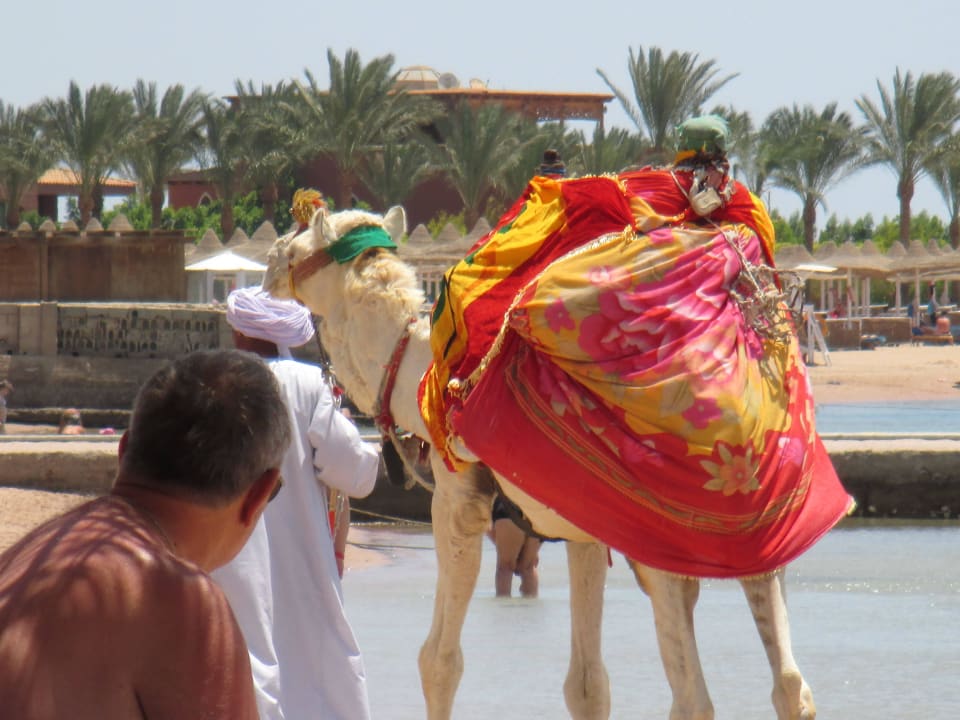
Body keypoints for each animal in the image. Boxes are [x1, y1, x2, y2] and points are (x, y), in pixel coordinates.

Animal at [263, 186, 843, 719]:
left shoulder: (458, 500)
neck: (416, 370)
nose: (269, 261)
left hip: (664, 539)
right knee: (791, 687)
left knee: (695, 699)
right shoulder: (585, 530)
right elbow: (587, 685)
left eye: (300, 238)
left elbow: (439, 660)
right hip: (761, 540)